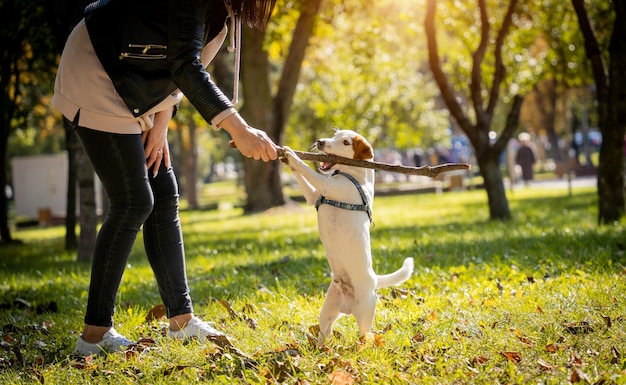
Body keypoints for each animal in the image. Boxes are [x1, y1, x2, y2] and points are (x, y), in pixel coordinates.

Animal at [280, 130, 412, 342]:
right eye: (334, 135)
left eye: (345, 142)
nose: (320, 141)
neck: (352, 174)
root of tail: (374, 280)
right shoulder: (313, 196)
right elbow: (303, 177)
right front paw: (284, 158)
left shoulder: (327, 186)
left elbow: (307, 170)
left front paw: (292, 155)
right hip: (327, 310)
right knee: (325, 331)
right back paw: (321, 346)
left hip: (365, 315)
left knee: (365, 334)